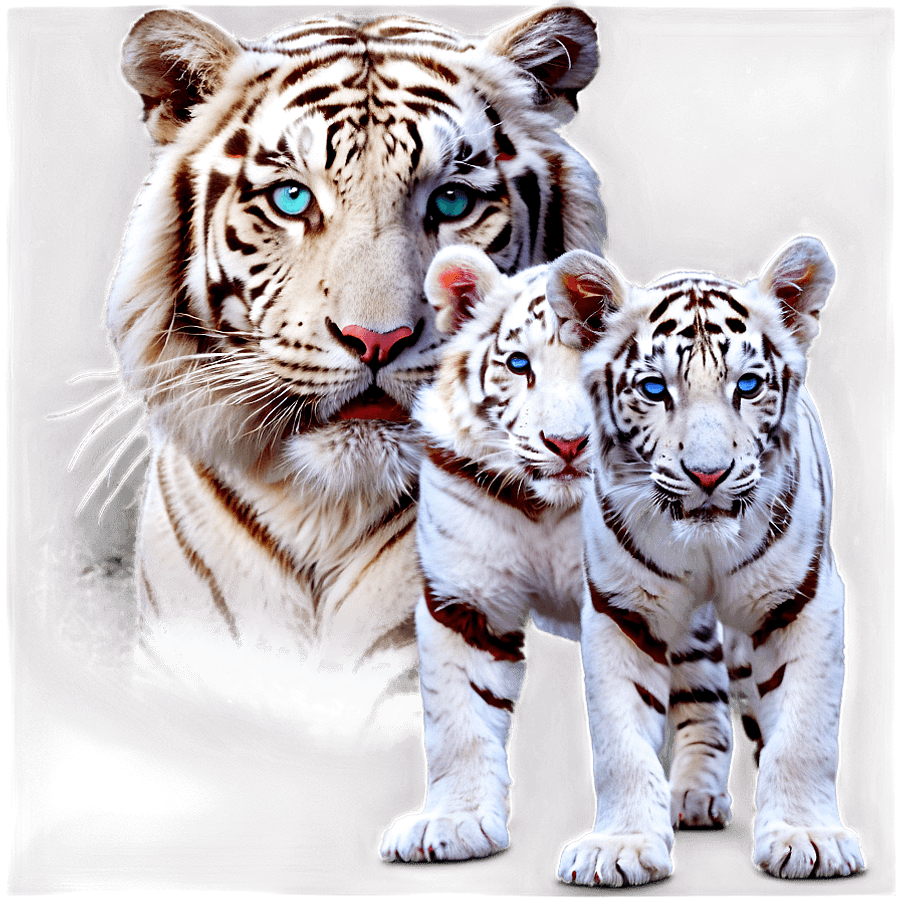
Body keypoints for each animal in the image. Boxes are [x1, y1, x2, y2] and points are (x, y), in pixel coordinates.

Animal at [378, 247, 733, 862]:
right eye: (520, 364)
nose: (569, 444)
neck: (548, 510)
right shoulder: (466, 600)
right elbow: (459, 721)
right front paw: (452, 822)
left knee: (704, 689)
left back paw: (695, 795)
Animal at [554, 235, 865, 884]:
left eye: (747, 386)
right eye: (654, 389)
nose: (707, 474)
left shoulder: (804, 600)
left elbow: (806, 731)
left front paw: (807, 836)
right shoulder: (622, 611)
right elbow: (620, 740)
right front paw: (619, 845)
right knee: (705, 705)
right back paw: (693, 794)